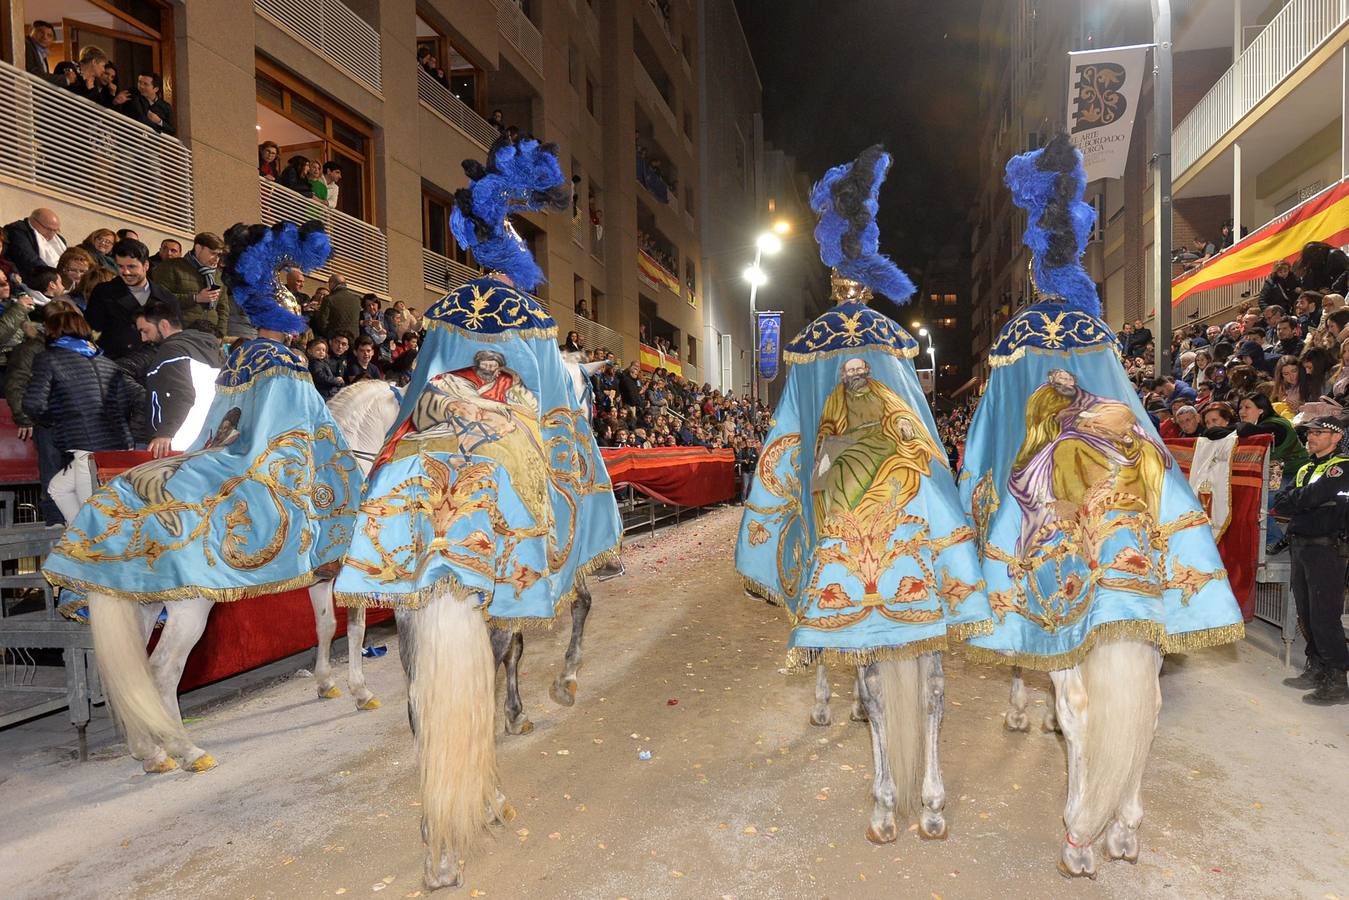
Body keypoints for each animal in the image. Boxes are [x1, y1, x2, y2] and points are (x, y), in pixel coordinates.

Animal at [83, 380, 396, 777]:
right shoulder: (344, 576)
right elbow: (355, 630)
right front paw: (361, 691)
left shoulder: (320, 578)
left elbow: (325, 627)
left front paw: (326, 683)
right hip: (189, 611)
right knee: (163, 671)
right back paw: (187, 750)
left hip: (144, 607)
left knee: (133, 675)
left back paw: (151, 753)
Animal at [1003, 639, 1160, 879]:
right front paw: (1048, 716)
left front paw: (1018, 713)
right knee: (1151, 711)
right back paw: (1123, 833)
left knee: (1074, 706)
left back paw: (1077, 841)